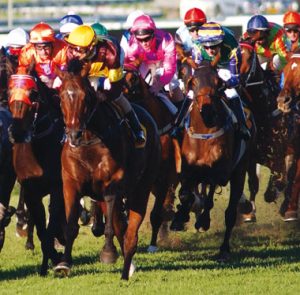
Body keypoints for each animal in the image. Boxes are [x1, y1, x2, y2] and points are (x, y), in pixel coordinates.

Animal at [8, 73, 66, 276]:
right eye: (9, 91)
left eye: (33, 94)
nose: (16, 132)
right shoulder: (30, 190)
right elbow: (42, 230)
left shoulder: (58, 187)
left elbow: (52, 222)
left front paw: (58, 259)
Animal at [54, 60, 162, 280]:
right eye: (61, 96)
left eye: (86, 96)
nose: (74, 135)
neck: (89, 142)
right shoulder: (70, 184)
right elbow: (71, 227)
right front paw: (64, 263)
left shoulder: (112, 185)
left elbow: (112, 228)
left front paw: (108, 253)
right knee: (123, 229)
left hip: (142, 188)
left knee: (130, 234)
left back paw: (126, 271)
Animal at [171, 60, 253, 262]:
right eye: (192, 82)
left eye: (219, 83)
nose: (207, 109)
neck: (205, 134)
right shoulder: (188, 170)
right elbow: (185, 194)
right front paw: (180, 217)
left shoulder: (219, 171)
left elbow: (209, 198)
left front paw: (203, 220)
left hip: (239, 172)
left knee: (230, 213)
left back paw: (223, 248)